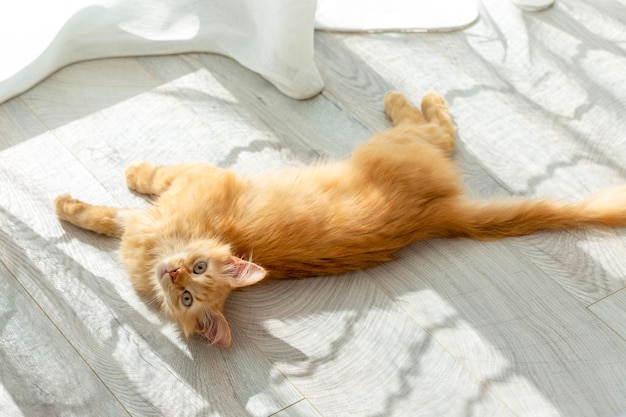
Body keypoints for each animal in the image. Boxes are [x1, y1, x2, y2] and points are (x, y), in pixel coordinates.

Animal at [53, 92, 624, 348]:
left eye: (195, 281)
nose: (172, 274)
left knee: (437, 127)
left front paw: (109, 184)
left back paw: (410, 97)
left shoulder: (195, 178)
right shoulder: (144, 227)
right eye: (188, 295)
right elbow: (112, 218)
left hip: (393, 143)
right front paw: (76, 210)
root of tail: (435, 218)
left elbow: (146, 182)